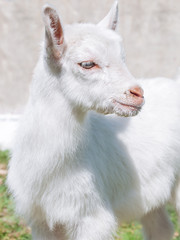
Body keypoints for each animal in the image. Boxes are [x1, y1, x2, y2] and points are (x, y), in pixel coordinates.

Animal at [7, 1, 180, 240]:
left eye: (123, 58)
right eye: (87, 64)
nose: (138, 94)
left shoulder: (92, 217)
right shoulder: (41, 222)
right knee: (161, 227)